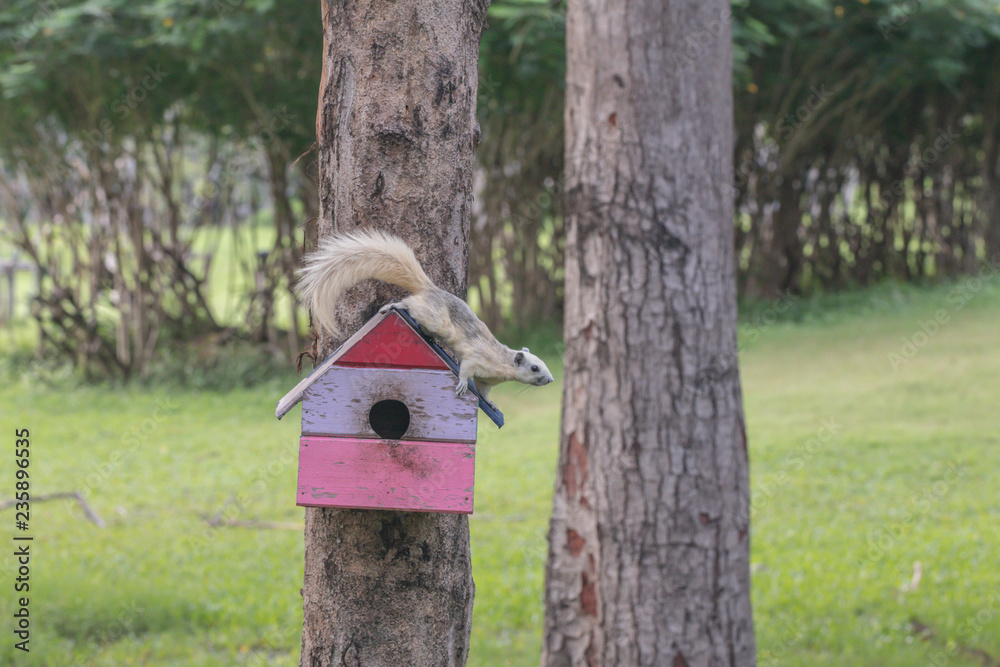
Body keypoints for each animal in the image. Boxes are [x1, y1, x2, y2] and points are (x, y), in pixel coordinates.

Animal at [296, 230, 556, 400]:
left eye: (542, 364)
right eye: (535, 368)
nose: (551, 380)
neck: (503, 364)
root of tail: (430, 289)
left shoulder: (485, 380)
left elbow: (483, 391)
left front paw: (490, 403)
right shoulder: (477, 358)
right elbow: (466, 369)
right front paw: (462, 385)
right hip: (433, 317)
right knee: (409, 303)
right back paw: (393, 306)